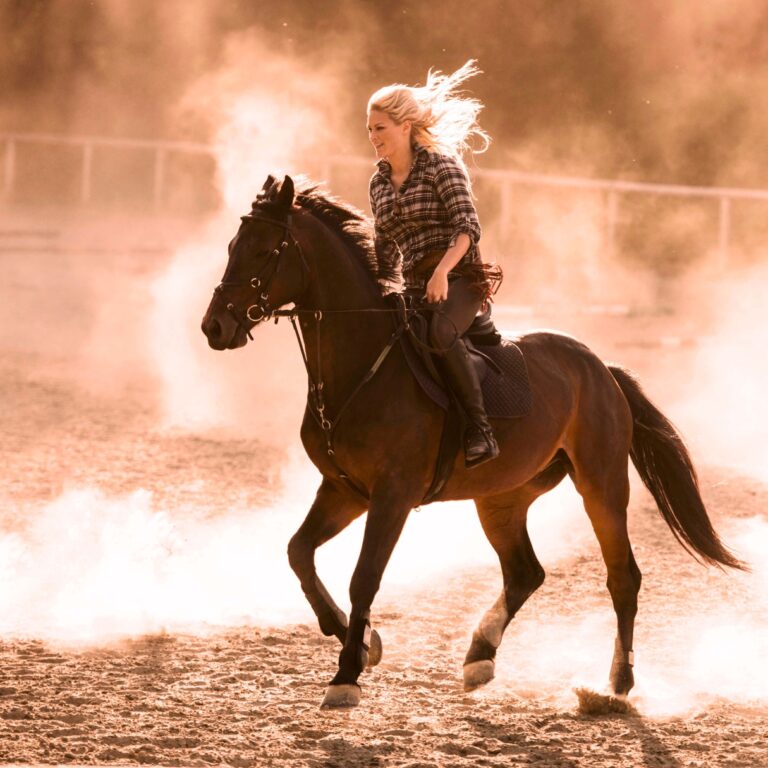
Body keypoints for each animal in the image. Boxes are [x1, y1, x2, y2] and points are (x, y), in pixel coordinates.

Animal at [201, 174, 740, 708]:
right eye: (231, 246)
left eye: (264, 250)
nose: (214, 326)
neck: (364, 365)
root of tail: (600, 369)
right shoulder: (344, 490)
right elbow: (299, 553)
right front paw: (366, 642)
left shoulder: (392, 496)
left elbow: (364, 577)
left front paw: (347, 673)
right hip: (501, 499)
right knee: (524, 572)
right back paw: (480, 656)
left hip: (602, 486)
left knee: (622, 577)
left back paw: (617, 683)